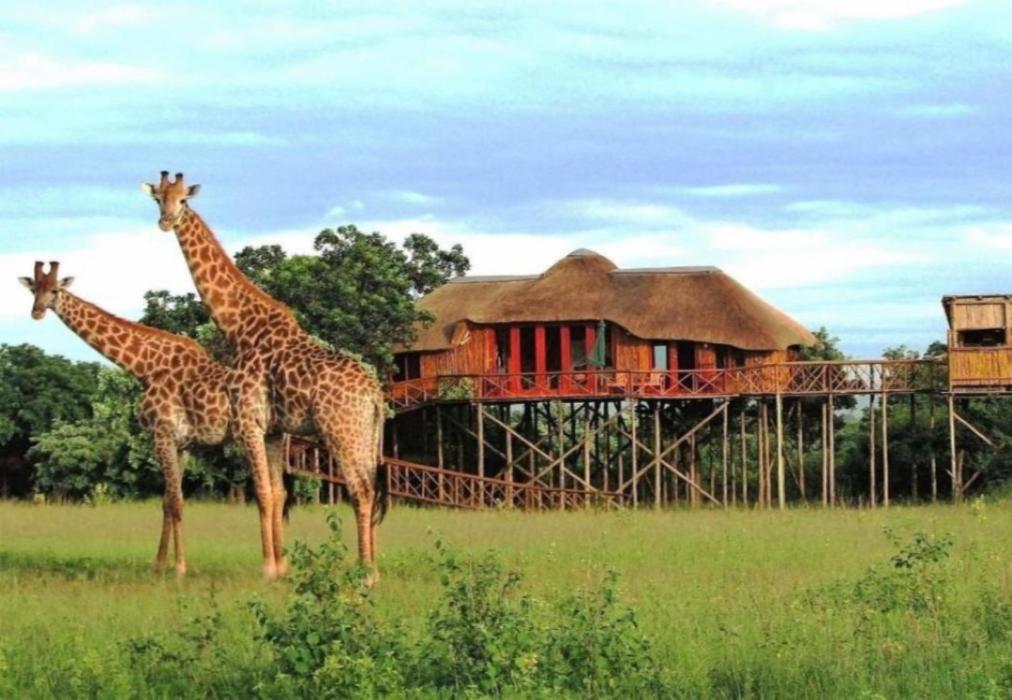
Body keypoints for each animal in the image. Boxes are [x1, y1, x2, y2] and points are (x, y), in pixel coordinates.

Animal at [19, 261, 233, 576]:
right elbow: (168, 501)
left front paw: (180, 567)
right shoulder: (182, 444)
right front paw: (159, 564)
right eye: (34, 288)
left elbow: (176, 501)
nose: (37, 312)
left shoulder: (164, 434)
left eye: (56, 290)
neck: (147, 367)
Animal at [142, 172, 385, 582]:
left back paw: (366, 573)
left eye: (184, 200)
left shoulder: (250, 421)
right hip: (366, 435)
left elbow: (263, 492)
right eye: (158, 198)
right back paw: (371, 569)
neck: (240, 327)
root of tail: (376, 396)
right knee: (372, 488)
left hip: (341, 432)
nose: (165, 221)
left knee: (361, 489)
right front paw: (280, 567)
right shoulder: (272, 429)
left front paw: (269, 569)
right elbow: (275, 493)